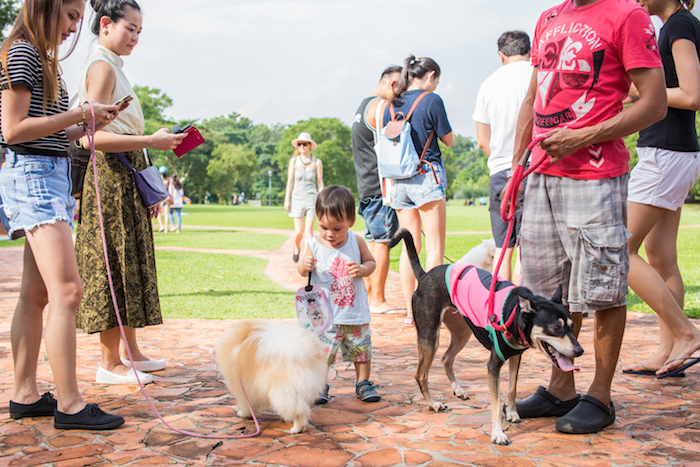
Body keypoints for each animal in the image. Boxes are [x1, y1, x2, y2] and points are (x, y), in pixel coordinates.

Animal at [392, 230, 584, 446]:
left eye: (572, 327)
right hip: (430, 336)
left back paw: (458, 390)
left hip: (462, 333)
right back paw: (433, 404)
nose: (579, 351)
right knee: (421, 374)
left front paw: (512, 413)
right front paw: (498, 433)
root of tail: (424, 275)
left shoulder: (516, 356)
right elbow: (496, 402)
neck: (514, 312)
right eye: (555, 328)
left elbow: (512, 389)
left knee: (446, 359)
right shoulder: (493, 365)